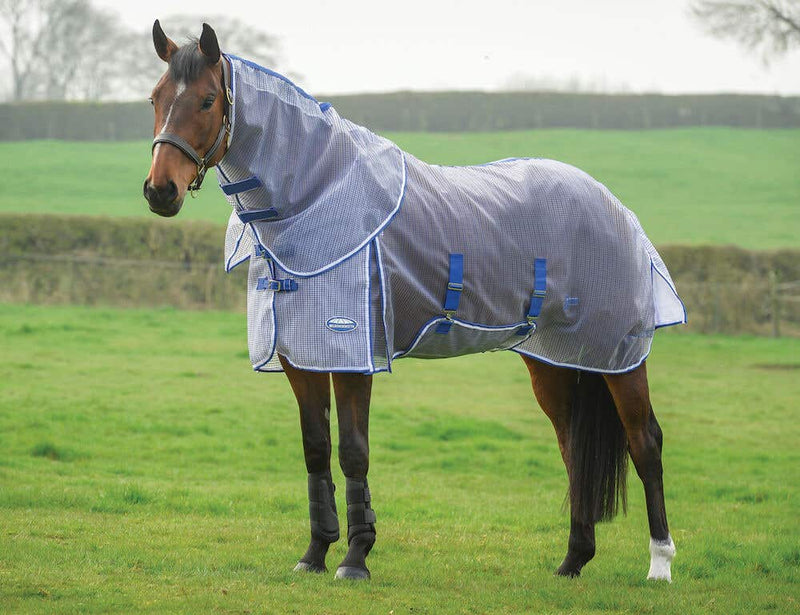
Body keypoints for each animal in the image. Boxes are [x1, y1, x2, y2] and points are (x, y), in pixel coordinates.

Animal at [143, 21, 684, 582]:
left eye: (208, 100)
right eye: (155, 97)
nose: (160, 191)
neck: (316, 199)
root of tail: (614, 205)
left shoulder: (354, 358)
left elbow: (353, 453)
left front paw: (355, 559)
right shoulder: (301, 357)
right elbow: (316, 451)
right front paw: (314, 554)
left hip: (619, 356)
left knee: (645, 442)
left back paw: (659, 565)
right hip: (554, 360)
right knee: (573, 447)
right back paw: (573, 561)